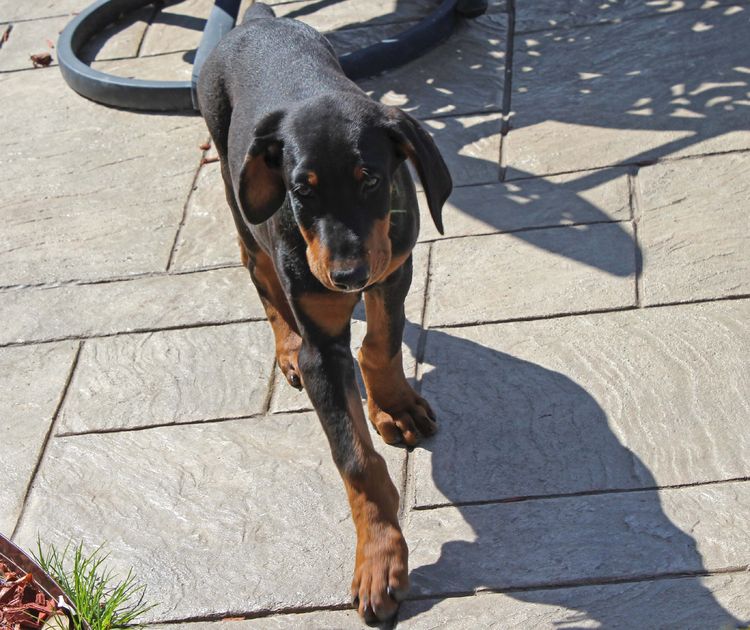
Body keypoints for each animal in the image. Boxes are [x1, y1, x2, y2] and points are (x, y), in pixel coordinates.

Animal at [197, 1, 452, 624]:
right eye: (302, 190)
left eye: (371, 178)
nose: (345, 277)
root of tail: (259, 21)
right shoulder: (322, 348)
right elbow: (355, 457)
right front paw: (381, 558)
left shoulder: (394, 267)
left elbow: (381, 343)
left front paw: (394, 406)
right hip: (239, 198)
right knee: (261, 275)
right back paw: (284, 345)